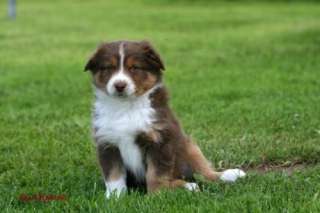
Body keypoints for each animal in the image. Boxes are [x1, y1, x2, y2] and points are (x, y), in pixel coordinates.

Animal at [84, 40, 245, 199]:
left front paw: (157, 195)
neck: (125, 107)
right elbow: (114, 175)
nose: (119, 85)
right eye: (108, 67)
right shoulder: (107, 142)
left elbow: (156, 174)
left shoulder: (160, 139)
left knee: (203, 171)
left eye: (135, 67)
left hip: (189, 146)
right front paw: (115, 198)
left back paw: (222, 176)